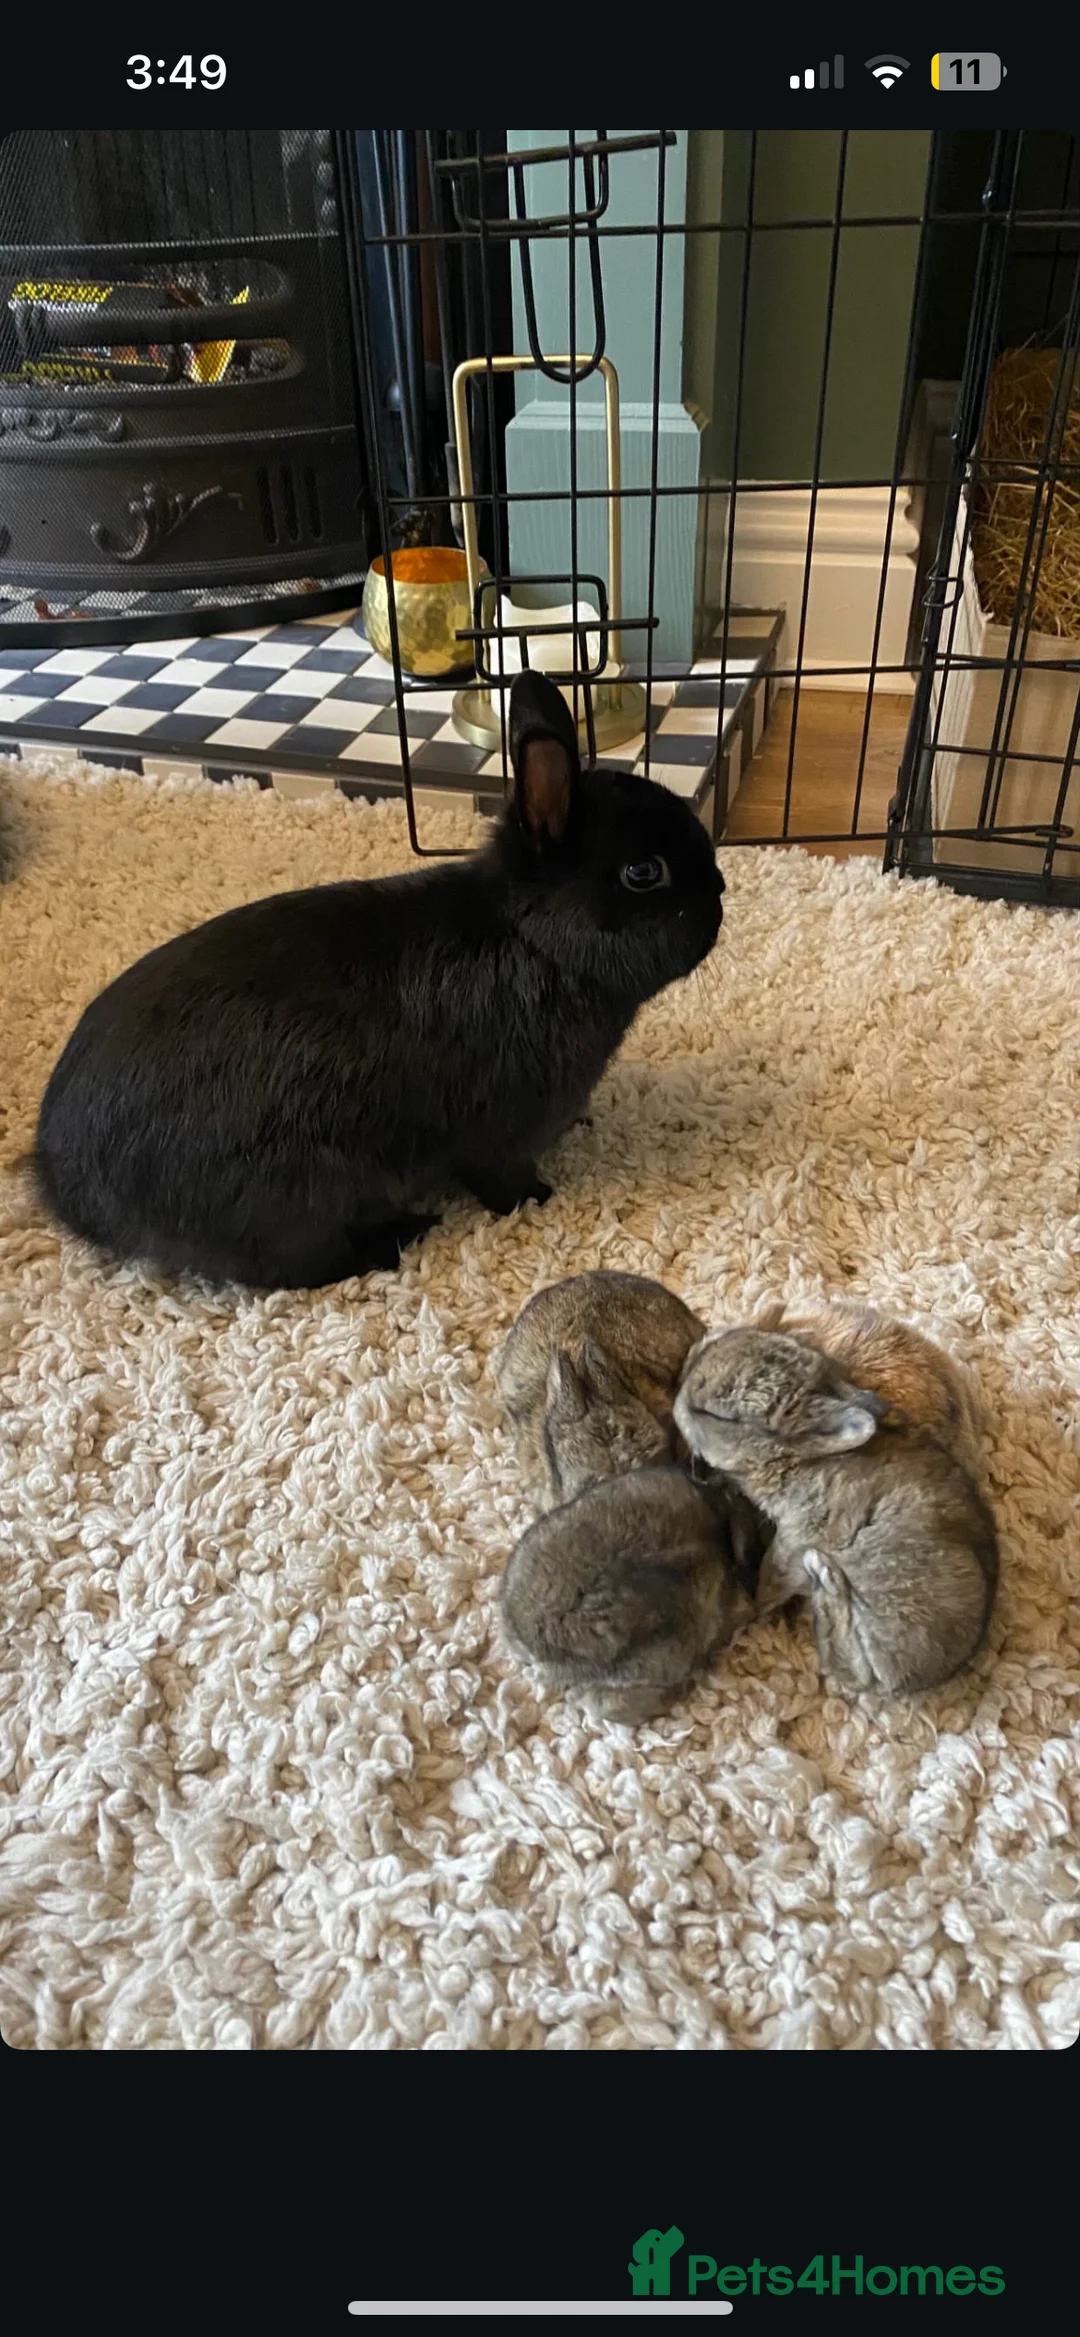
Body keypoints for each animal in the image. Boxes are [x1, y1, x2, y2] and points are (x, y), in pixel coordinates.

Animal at [31, 669, 724, 1290]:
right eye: (643, 872)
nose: (720, 893)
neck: (530, 942)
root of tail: (67, 1188)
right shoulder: (496, 1131)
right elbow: (499, 1178)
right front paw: (538, 1198)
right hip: (294, 1192)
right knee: (294, 1269)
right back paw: (401, 1235)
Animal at [673, 1327, 999, 1696]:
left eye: (717, 1417)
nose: (680, 1383)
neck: (800, 1460)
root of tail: (922, 1678)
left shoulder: (795, 1536)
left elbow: (771, 1578)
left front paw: (757, 1600)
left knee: (852, 1671)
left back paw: (823, 1573)